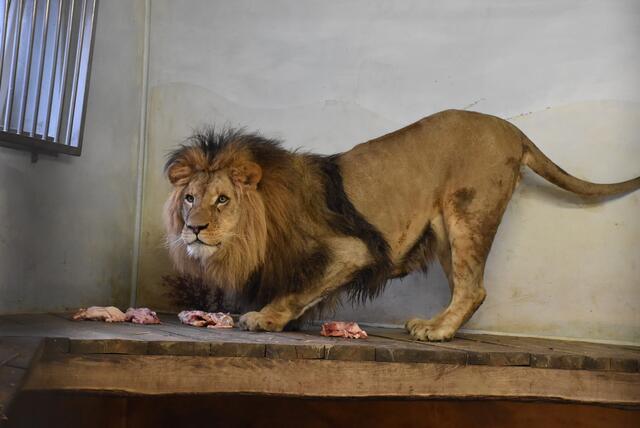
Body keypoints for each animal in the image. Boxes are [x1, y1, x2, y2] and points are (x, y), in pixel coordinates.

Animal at [164, 110, 640, 341]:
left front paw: (265, 317)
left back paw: (437, 330)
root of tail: (514, 131)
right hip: (445, 231)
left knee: (473, 288)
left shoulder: (351, 250)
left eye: (222, 199)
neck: (259, 224)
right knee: (466, 286)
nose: (194, 229)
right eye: (189, 198)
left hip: (467, 213)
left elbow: (300, 289)